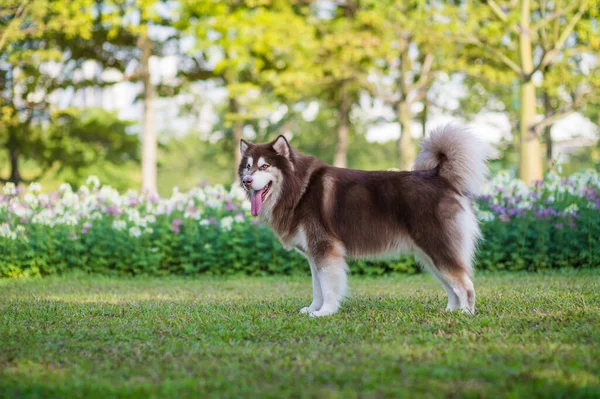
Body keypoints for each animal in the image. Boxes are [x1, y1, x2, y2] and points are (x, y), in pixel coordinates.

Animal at [238, 123, 492, 318]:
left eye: (264, 165)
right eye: (248, 166)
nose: (246, 181)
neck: (299, 189)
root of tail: (439, 176)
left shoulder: (326, 250)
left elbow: (328, 287)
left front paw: (325, 312)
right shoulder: (313, 254)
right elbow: (317, 287)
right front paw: (313, 309)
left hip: (437, 248)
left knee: (465, 285)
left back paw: (465, 314)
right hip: (429, 255)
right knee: (451, 285)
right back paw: (451, 311)